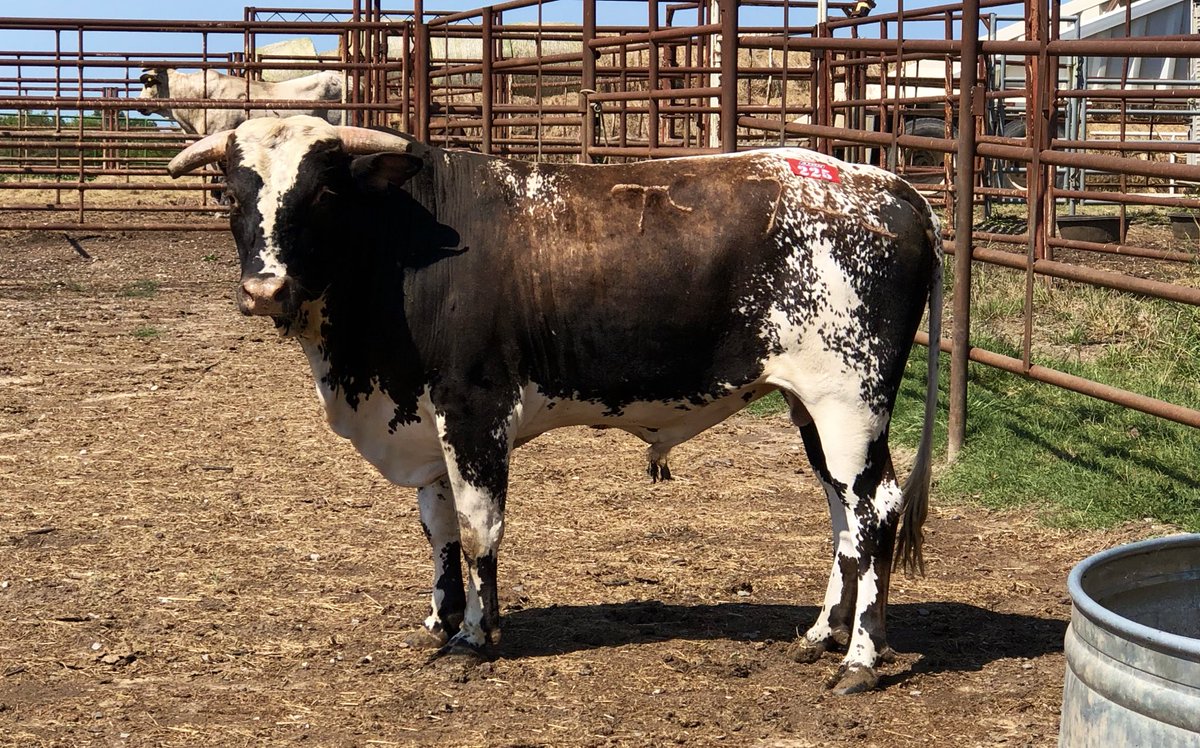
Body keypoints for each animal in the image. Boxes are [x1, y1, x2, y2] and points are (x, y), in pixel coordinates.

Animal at [167, 115, 943, 695]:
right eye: (232, 195)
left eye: (322, 194)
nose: (265, 289)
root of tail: (892, 186)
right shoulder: (424, 419)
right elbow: (437, 525)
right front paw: (442, 619)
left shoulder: (474, 407)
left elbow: (477, 527)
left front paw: (476, 635)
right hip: (811, 408)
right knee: (845, 514)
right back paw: (819, 634)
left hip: (850, 400)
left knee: (873, 511)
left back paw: (860, 660)